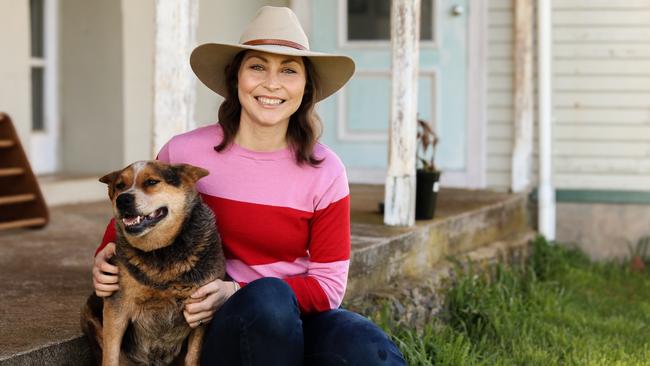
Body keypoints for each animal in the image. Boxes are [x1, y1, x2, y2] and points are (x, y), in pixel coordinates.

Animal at [80, 162, 225, 366]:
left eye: (151, 182)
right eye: (120, 185)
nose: (123, 200)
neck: (161, 252)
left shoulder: (201, 309)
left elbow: (193, 355)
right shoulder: (117, 307)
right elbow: (111, 354)